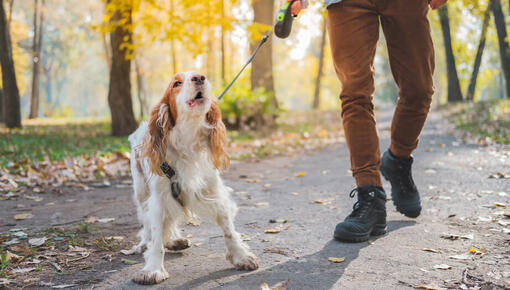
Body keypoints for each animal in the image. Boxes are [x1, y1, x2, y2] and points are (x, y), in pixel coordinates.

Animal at [127, 71, 258, 284]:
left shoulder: (213, 191)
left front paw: (241, 256)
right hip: (141, 191)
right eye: (177, 83)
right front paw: (153, 269)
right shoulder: (159, 198)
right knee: (146, 223)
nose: (199, 77)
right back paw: (146, 243)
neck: (188, 139)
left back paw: (174, 240)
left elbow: (228, 229)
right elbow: (156, 235)